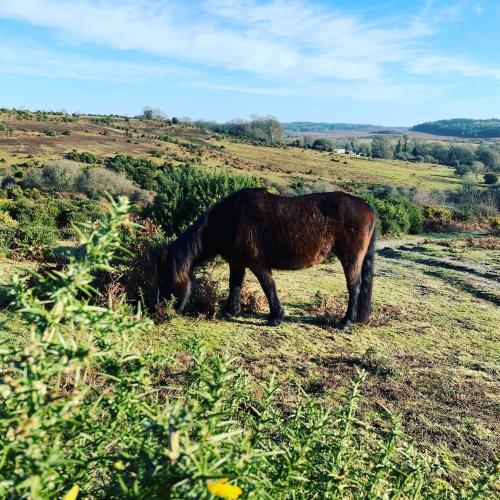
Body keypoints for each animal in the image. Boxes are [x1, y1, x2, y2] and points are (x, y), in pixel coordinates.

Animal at [157, 188, 376, 328]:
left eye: (164, 280)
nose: (161, 312)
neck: (230, 218)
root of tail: (366, 206)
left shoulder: (258, 263)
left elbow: (268, 286)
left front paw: (275, 317)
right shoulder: (237, 263)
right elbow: (235, 285)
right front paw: (231, 311)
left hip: (350, 258)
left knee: (354, 286)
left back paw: (346, 322)